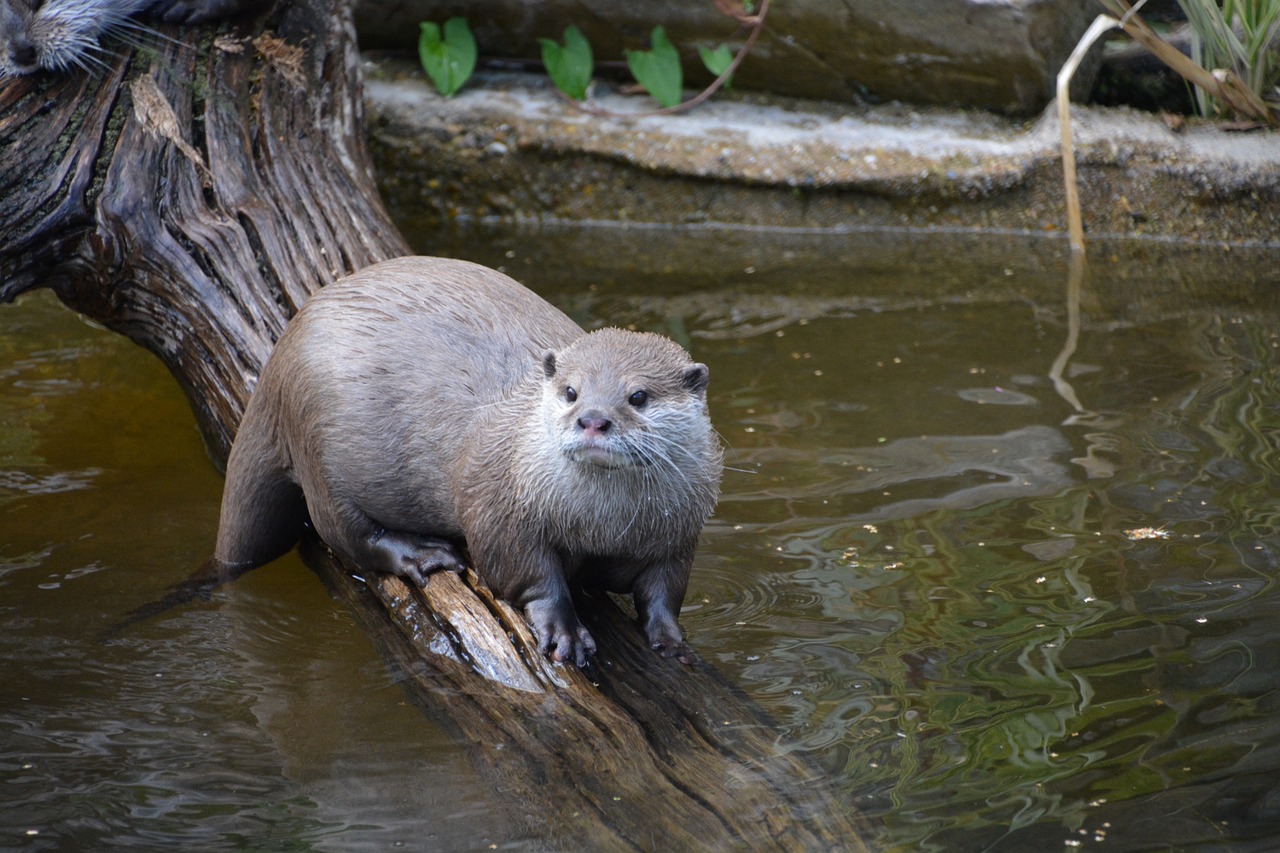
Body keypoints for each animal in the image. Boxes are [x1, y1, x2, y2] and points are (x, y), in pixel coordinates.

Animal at [215, 252, 727, 666]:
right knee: (346, 535)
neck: (604, 526)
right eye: (571, 391)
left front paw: (672, 639)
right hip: (316, 442)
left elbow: (664, 590)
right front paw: (564, 630)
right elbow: (526, 572)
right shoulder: (499, 506)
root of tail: (278, 361)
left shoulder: (680, 532)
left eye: (638, 396)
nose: (593, 419)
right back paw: (421, 553)